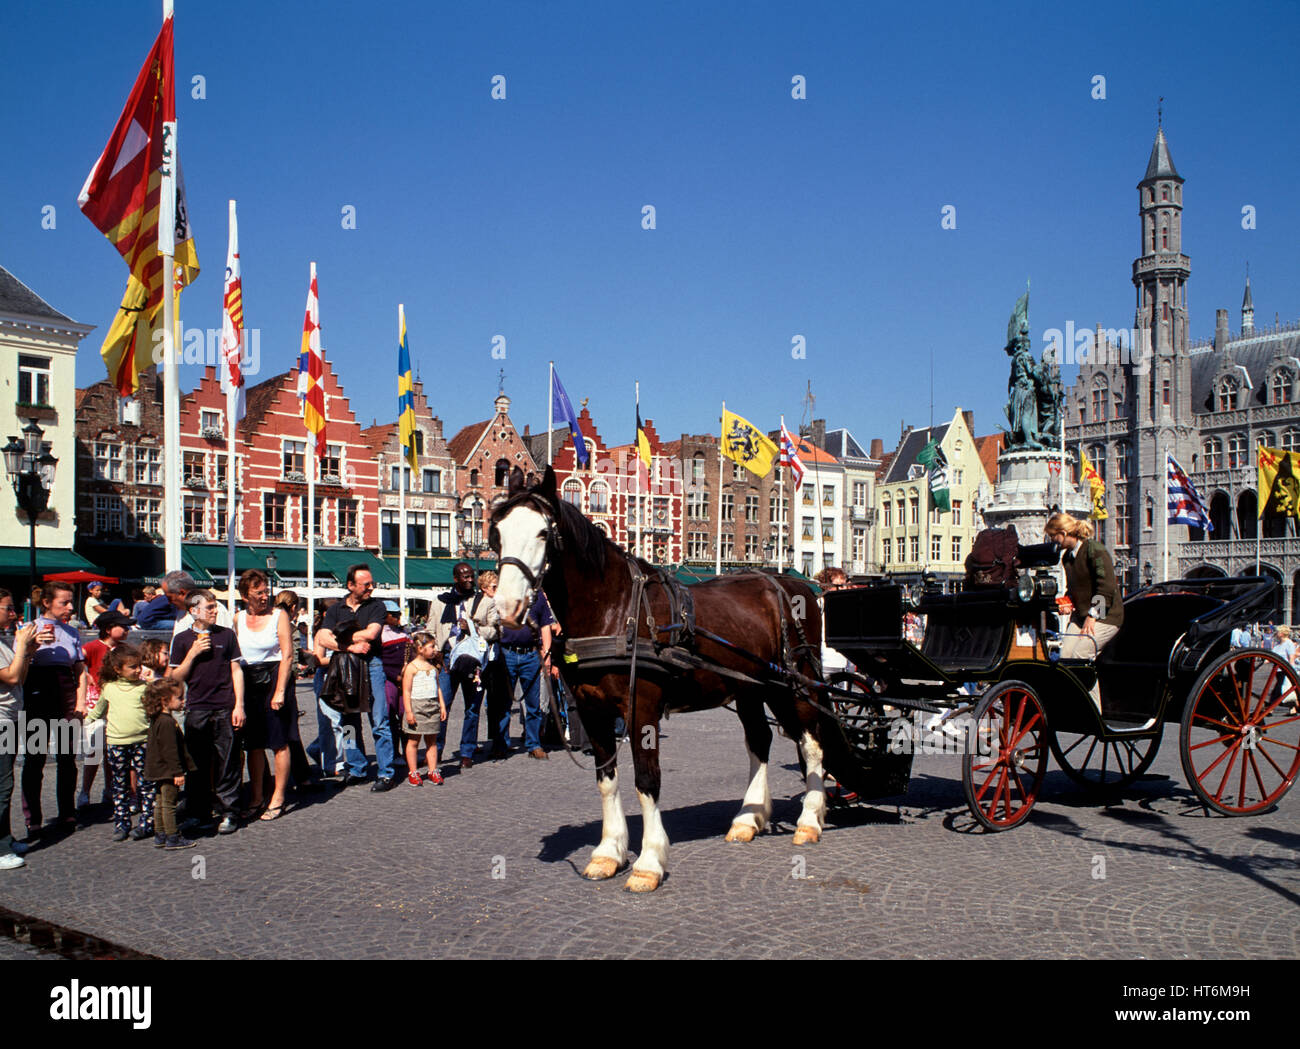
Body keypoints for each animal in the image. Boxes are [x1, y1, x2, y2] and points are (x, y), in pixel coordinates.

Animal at [488, 467, 832, 894]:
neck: (615, 610)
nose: (506, 609)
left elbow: (647, 780)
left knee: (812, 744)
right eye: (497, 533)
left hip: (796, 684)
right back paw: (747, 819)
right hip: (751, 688)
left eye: (542, 533)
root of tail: (795, 586)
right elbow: (606, 780)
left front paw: (648, 862)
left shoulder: (642, 709)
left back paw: (809, 820)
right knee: (760, 741)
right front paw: (608, 852)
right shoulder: (591, 709)